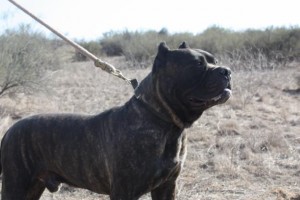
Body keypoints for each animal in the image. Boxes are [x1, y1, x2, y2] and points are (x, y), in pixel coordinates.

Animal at [0, 41, 232, 199]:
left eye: (215, 61)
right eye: (197, 65)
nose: (227, 71)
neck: (163, 122)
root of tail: (10, 130)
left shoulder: (166, 187)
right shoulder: (125, 191)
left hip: (32, 188)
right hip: (16, 185)